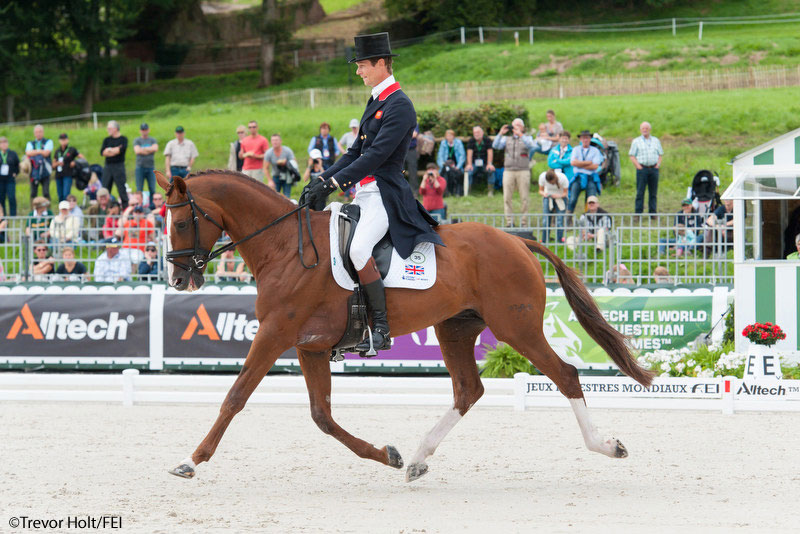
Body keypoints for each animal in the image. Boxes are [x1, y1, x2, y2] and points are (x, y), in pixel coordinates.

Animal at [156, 173, 648, 486]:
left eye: (179, 222)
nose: (178, 281)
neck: (285, 248)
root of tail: (517, 239)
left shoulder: (275, 334)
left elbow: (235, 397)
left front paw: (189, 461)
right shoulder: (309, 347)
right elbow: (322, 417)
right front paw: (386, 455)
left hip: (517, 328)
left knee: (565, 375)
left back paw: (608, 447)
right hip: (455, 329)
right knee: (468, 390)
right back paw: (415, 459)